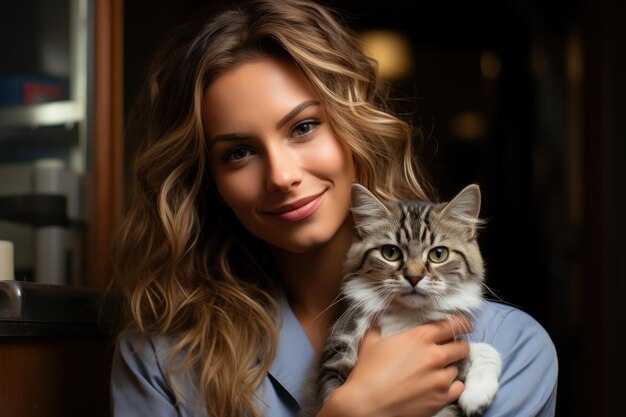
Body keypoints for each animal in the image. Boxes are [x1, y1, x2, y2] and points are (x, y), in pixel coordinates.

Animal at [300, 184, 500, 416]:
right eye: (390, 252)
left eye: (438, 254)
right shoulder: (333, 360)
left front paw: (477, 395)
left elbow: (482, 349)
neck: (407, 316)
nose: (413, 277)